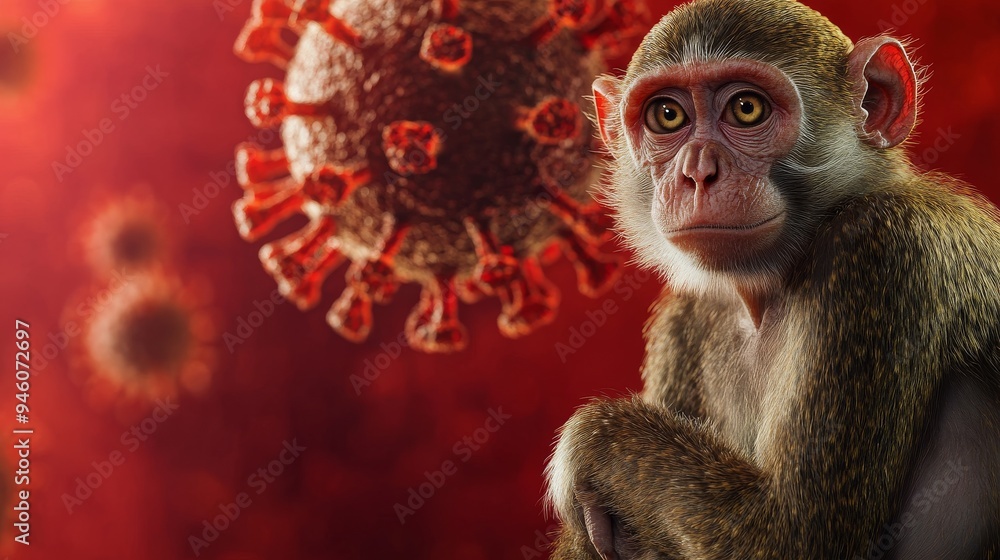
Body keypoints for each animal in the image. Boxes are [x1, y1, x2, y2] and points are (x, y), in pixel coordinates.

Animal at [544, 1, 1000, 558]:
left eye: (747, 109)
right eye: (667, 116)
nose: (697, 174)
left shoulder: (883, 245)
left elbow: (793, 535)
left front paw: (590, 443)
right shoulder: (687, 318)